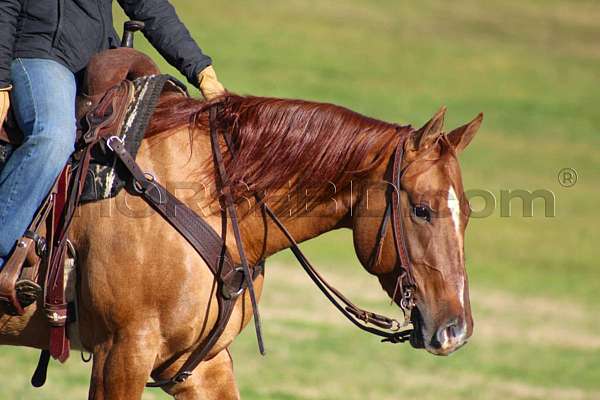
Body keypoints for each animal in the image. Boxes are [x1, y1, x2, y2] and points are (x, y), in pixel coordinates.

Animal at [0, 93, 478, 396]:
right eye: (422, 209)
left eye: (469, 212)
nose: (456, 330)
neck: (208, 201)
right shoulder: (120, 353)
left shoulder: (199, 365)